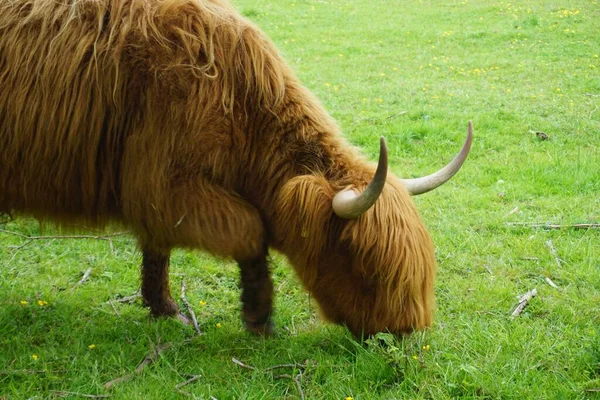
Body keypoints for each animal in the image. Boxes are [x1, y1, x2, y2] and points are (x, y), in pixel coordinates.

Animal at [0, 0, 472, 338]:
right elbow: (250, 229)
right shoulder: (165, 184)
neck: (235, 98)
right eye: (368, 271)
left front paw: (164, 308)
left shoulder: (153, 192)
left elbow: (158, 248)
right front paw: (258, 317)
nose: (406, 332)